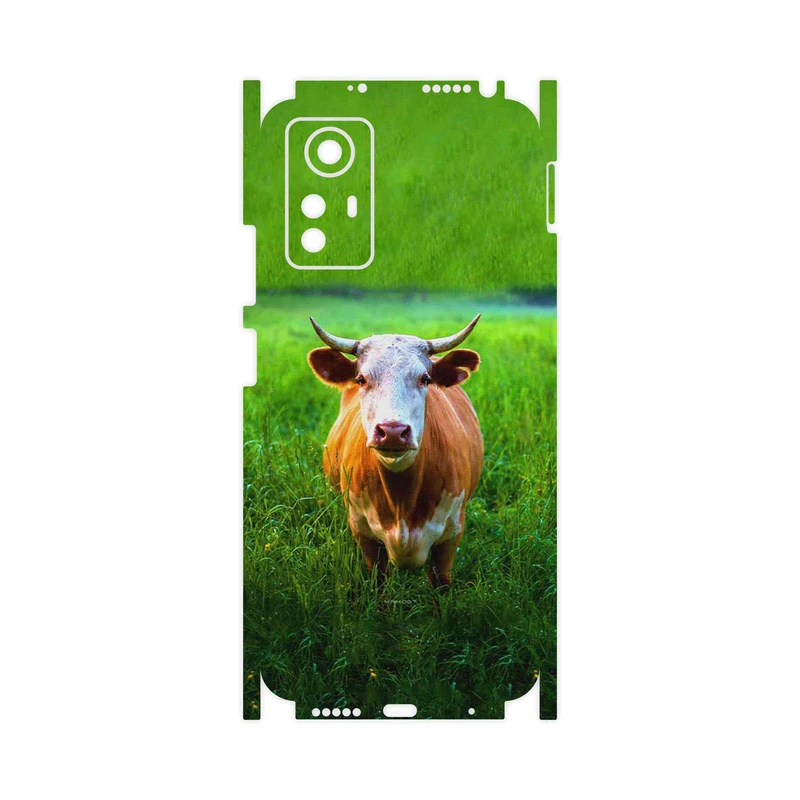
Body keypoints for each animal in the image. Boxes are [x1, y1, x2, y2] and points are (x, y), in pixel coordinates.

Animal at [307, 315, 484, 590]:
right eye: (361, 379)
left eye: (425, 379)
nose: (392, 431)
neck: (402, 500)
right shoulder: (364, 533)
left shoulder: (451, 535)